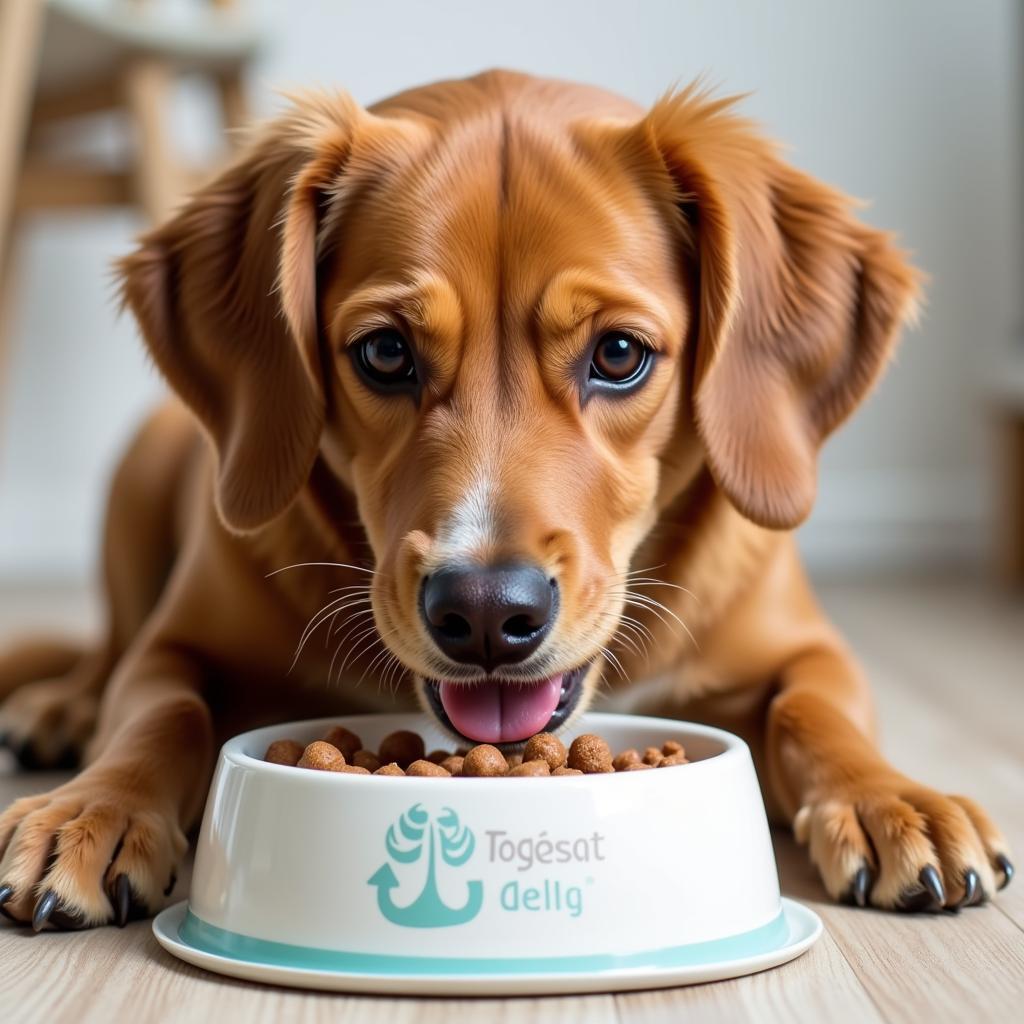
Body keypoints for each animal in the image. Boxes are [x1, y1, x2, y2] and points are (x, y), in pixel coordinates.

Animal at [0, 72, 1007, 929]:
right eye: (384, 352)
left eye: (618, 354)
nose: (485, 613)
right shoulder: (176, 645)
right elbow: (158, 710)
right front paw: (94, 811)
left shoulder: (806, 649)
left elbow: (816, 712)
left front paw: (892, 799)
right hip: (138, 481)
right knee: (105, 654)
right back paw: (60, 710)